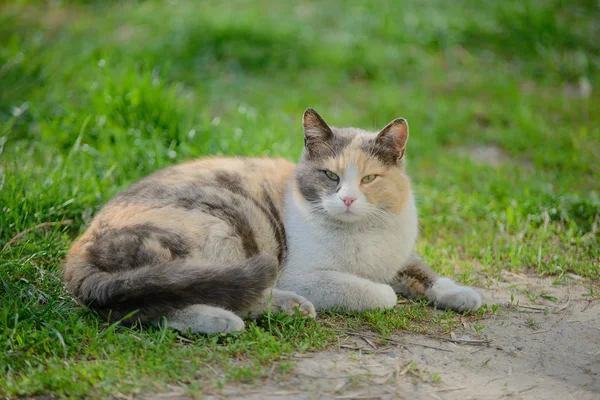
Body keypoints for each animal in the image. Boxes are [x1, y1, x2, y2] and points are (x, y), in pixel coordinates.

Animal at [276, 108, 482, 312]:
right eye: (331, 175)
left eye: (369, 178)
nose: (348, 199)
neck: (359, 231)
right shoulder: (298, 278)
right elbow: (366, 290)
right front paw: (383, 289)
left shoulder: (399, 259)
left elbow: (423, 272)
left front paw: (460, 293)